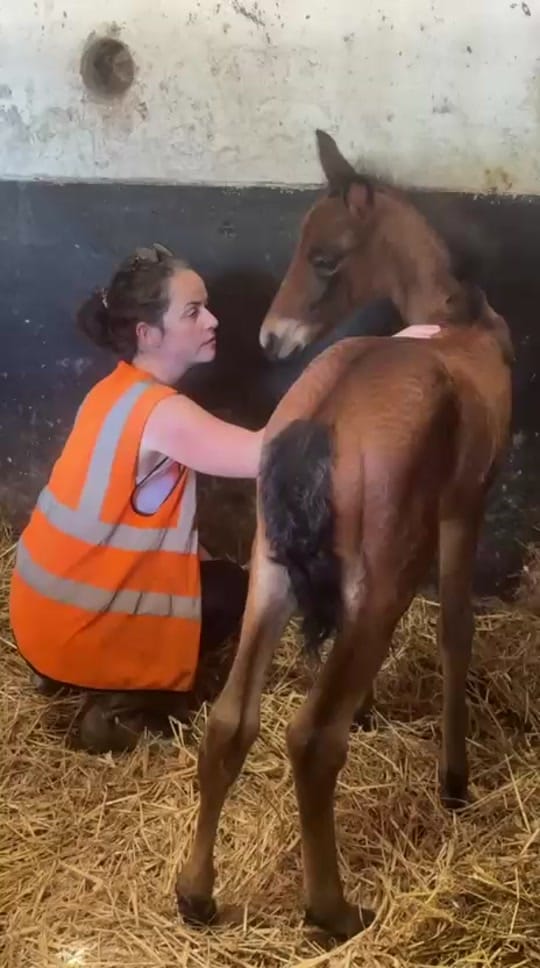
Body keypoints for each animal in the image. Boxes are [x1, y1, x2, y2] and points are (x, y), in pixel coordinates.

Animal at [175, 130, 514, 940]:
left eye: (325, 257)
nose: (270, 338)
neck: (456, 320)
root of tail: (323, 422)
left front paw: (372, 709)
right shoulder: (465, 508)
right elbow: (457, 630)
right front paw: (455, 780)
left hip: (270, 570)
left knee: (229, 722)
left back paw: (196, 893)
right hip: (385, 575)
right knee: (311, 738)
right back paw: (332, 909)